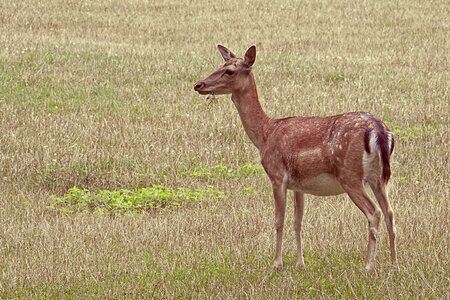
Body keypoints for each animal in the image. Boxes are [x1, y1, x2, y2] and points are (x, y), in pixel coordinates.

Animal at [193, 44, 398, 272]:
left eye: (229, 71)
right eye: (219, 65)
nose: (198, 84)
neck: (265, 134)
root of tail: (378, 130)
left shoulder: (277, 175)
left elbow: (279, 220)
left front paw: (277, 264)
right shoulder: (299, 185)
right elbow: (298, 221)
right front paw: (301, 263)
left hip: (350, 175)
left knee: (374, 212)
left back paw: (369, 266)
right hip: (379, 177)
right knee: (390, 212)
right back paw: (394, 264)